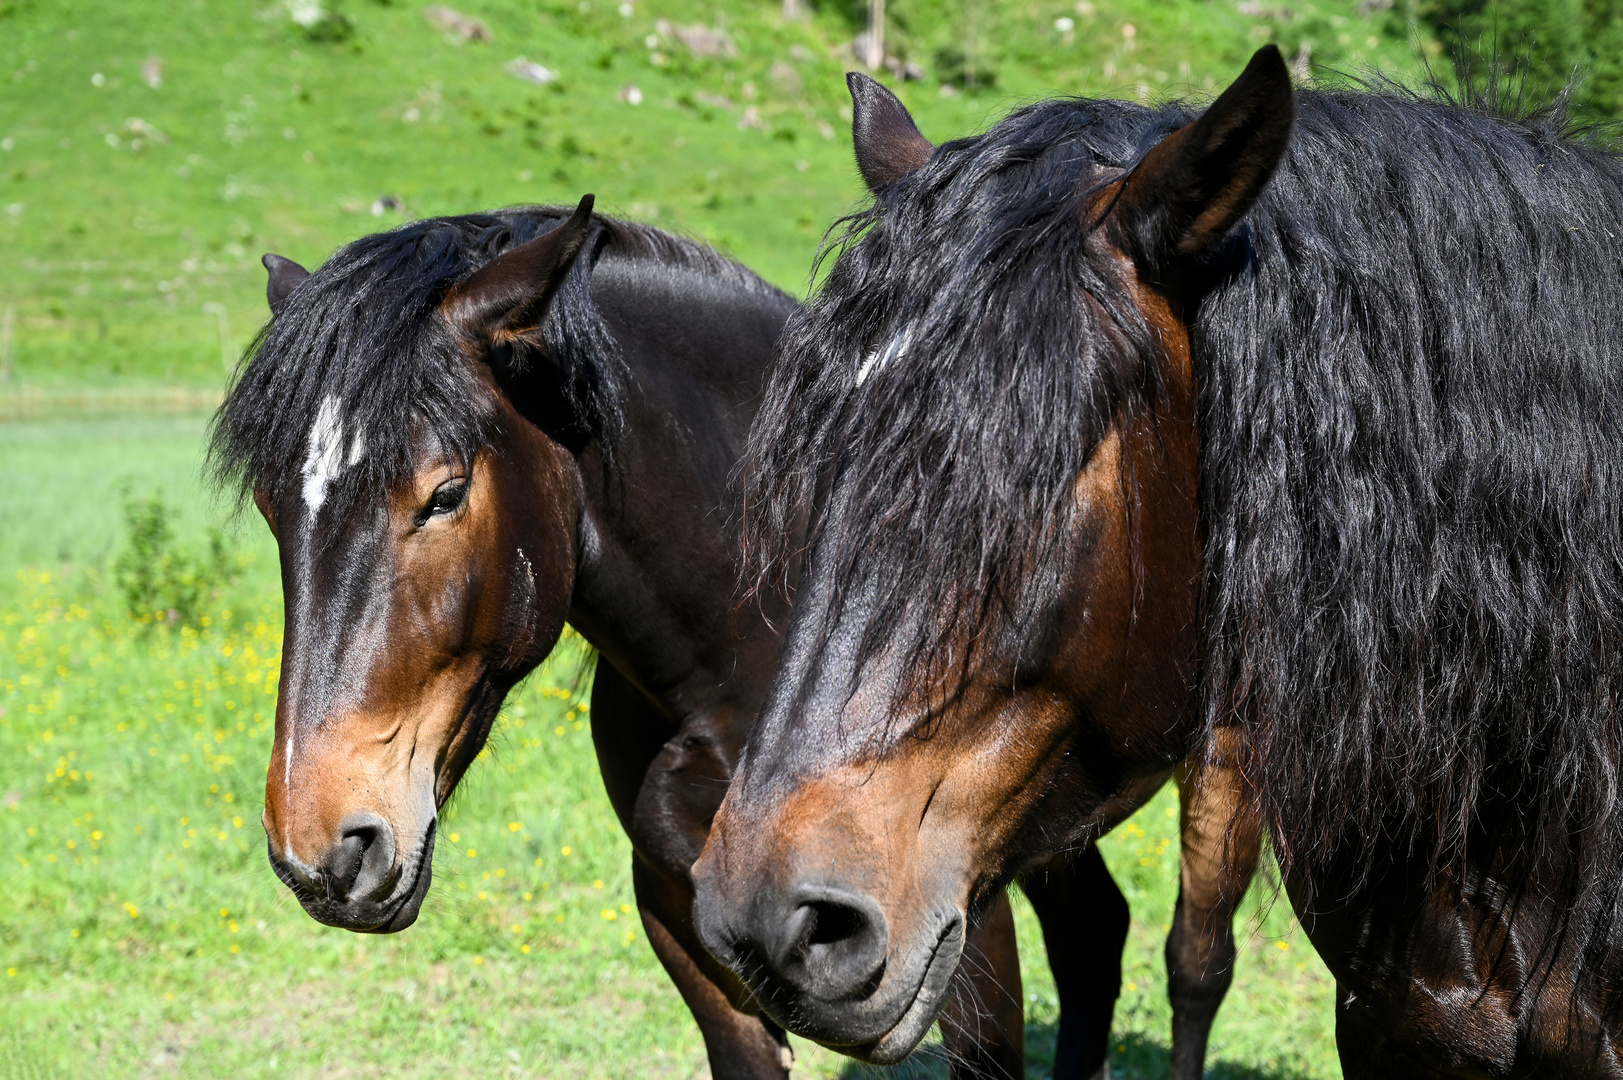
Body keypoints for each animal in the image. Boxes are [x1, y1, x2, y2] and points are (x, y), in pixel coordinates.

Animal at [209, 198, 1246, 1071]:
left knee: (1195, 962)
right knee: (1095, 936)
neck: (746, 648)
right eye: (271, 507)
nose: (323, 852)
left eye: (446, 492)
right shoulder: (686, 927)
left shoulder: (955, 931)